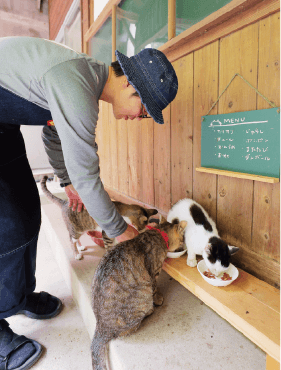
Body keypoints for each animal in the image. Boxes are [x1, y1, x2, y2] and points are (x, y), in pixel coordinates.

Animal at [90, 218, 186, 368]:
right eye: (182, 239)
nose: (183, 247)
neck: (158, 233)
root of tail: (101, 326)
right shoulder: (153, 274)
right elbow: (155, 288)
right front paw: (158, 298)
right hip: (142, 297)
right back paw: (149, 311)